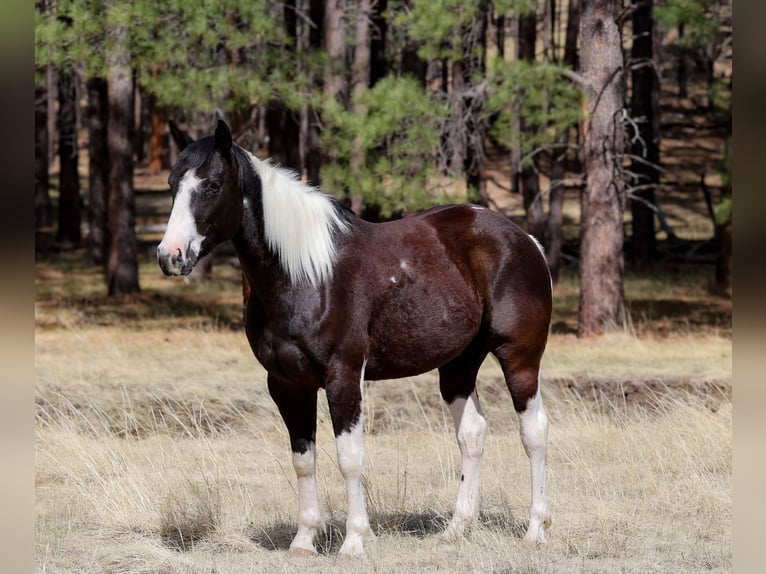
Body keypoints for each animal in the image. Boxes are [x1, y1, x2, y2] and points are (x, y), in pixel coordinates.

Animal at [157, 120, 552, 558]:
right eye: (172, 184)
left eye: (212, 185)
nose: (170, 255)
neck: (306, 275)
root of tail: (525, 240)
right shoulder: (286, 385)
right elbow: (303, 460)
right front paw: (304, 541)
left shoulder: (343, 377)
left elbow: (349, 457)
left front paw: (354, 541)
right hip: (458, 365)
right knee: (472, 434)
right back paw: (456, 529)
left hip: (519, 358)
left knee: (534, 432)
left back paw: (536, 530)